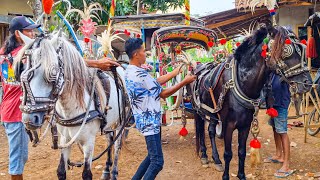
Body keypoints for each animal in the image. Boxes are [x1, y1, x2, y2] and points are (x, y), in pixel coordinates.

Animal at [13, 32, 129, 180]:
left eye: (53, 73)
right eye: (23, 71)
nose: (29, 118)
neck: (71, 108)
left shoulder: (89, 142)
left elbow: (86, 174)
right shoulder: (65, 139)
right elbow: (61, 171)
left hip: (121, 121)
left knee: (117, 145)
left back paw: (113, 172)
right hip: (108, 123)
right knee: (110, 140)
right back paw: (106, 170)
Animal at [190, 24, 312, 180]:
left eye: (303, 48)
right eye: (286, 51)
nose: (307, 83)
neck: (242, 83)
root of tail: (199, 70)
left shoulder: (245, 125)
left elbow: (241, 152)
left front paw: (241, 175)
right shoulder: (228, 125)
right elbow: (228, 154)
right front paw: (226, 176)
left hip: (213, 113)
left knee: (210, 131)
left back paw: (216, 160)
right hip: (198, 111)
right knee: (200, 130)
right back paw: (205, 156)